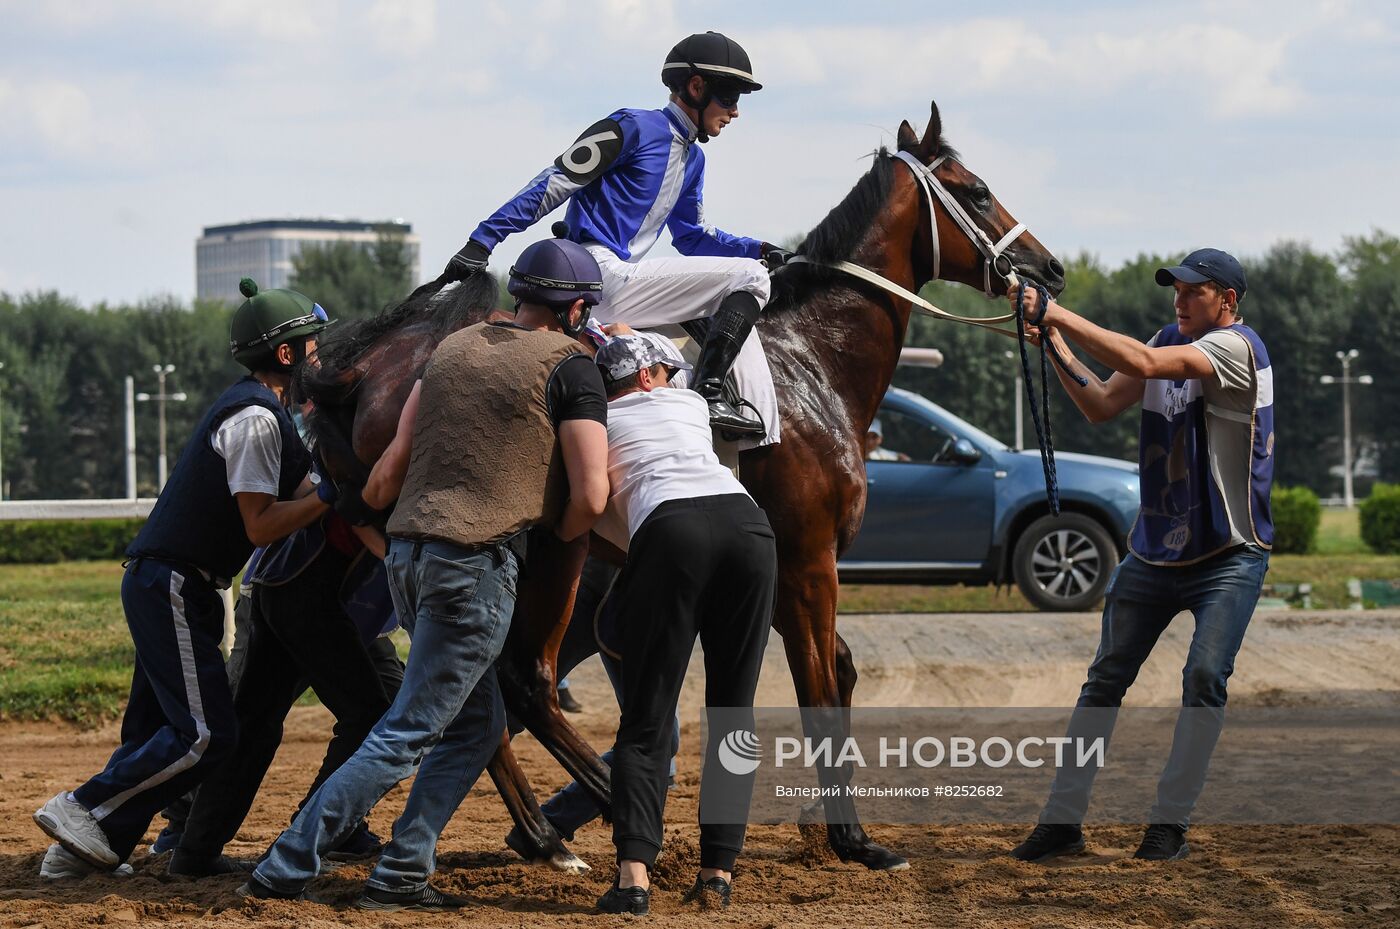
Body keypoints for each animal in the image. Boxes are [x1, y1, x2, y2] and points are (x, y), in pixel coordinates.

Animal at [306, 100, 1058, 873]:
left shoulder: (783, 560)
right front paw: (852, 838)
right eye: (976, 191)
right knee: (521, 679)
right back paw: (605, 812)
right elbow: (819, 684)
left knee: (475, 696)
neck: (814, 361)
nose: (1049, 269)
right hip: (549, 548)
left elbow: (840, 671)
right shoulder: (809, 558)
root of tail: (368, 369)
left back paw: (546, 834)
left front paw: (827, 826)